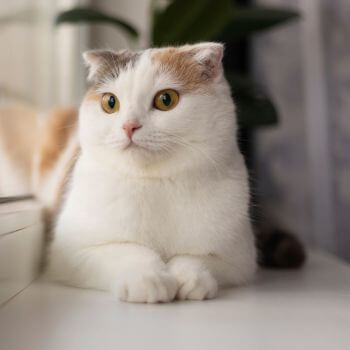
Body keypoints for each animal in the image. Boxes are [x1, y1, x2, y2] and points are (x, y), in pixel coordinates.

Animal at [35, 42, 258, 302]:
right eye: (110, 102)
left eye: (166, 99)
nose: (129, 126)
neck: (156, 183)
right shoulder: (70, 253)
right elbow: (125, 250)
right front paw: (148, 278)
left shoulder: (239, 259)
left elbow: (199, 257)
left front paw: (190, 278)